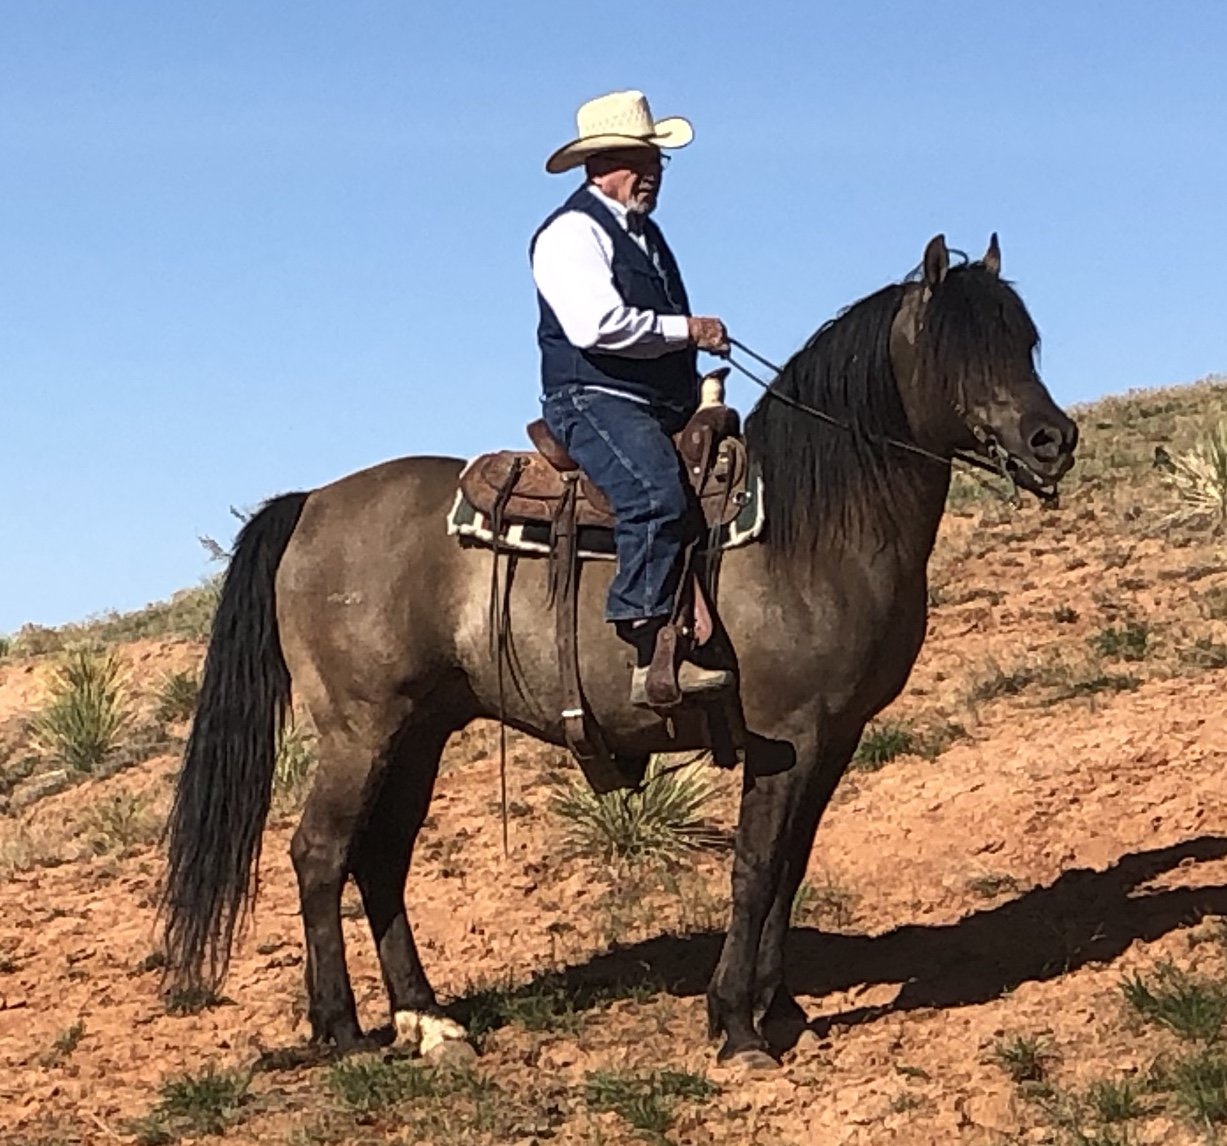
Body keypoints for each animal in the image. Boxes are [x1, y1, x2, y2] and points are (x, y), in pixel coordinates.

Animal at [161, 234, 1078, 1068]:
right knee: (320, 854)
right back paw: (345, 1033)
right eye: (956, 349)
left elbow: (789, 867)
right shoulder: (785, 736)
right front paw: (737, 1026)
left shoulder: (836, 736)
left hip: (418, 731)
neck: (809, 529)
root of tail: (311, 503)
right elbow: (754, 867)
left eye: (1022, 340)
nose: (1051, 440)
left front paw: (779, 1009)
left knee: (381, 858)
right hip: (360, 729)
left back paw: (430, 1022)